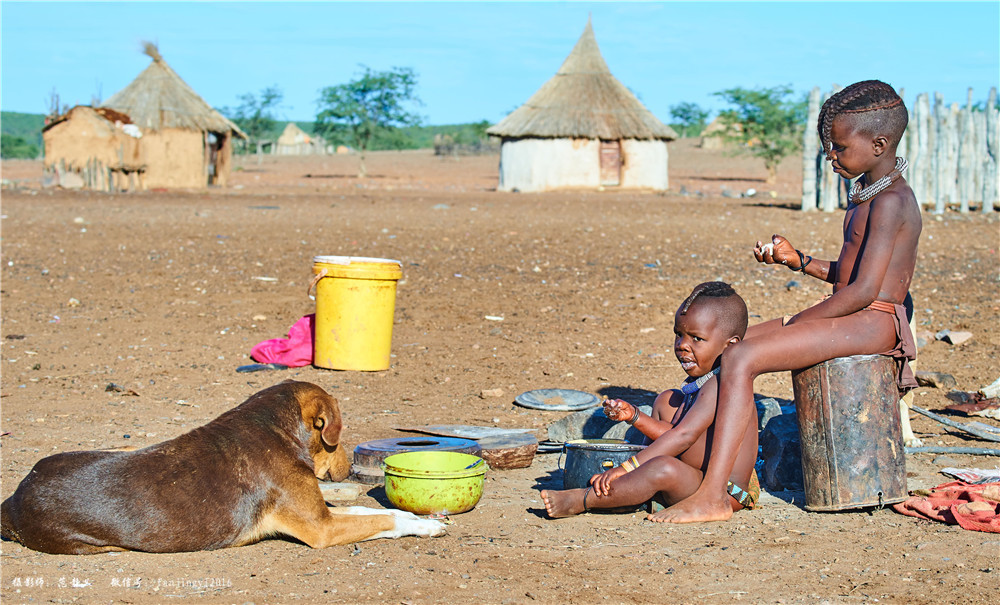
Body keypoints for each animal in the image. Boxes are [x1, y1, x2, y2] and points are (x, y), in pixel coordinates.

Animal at [0, 380, 446, 556]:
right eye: (340, 428)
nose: (348, 465)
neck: (277, 429)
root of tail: (14, 498)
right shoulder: (321, 529)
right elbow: (382, 520)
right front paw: (423, 527)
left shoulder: (321, 513)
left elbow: (372, 509)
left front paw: (417, 517)